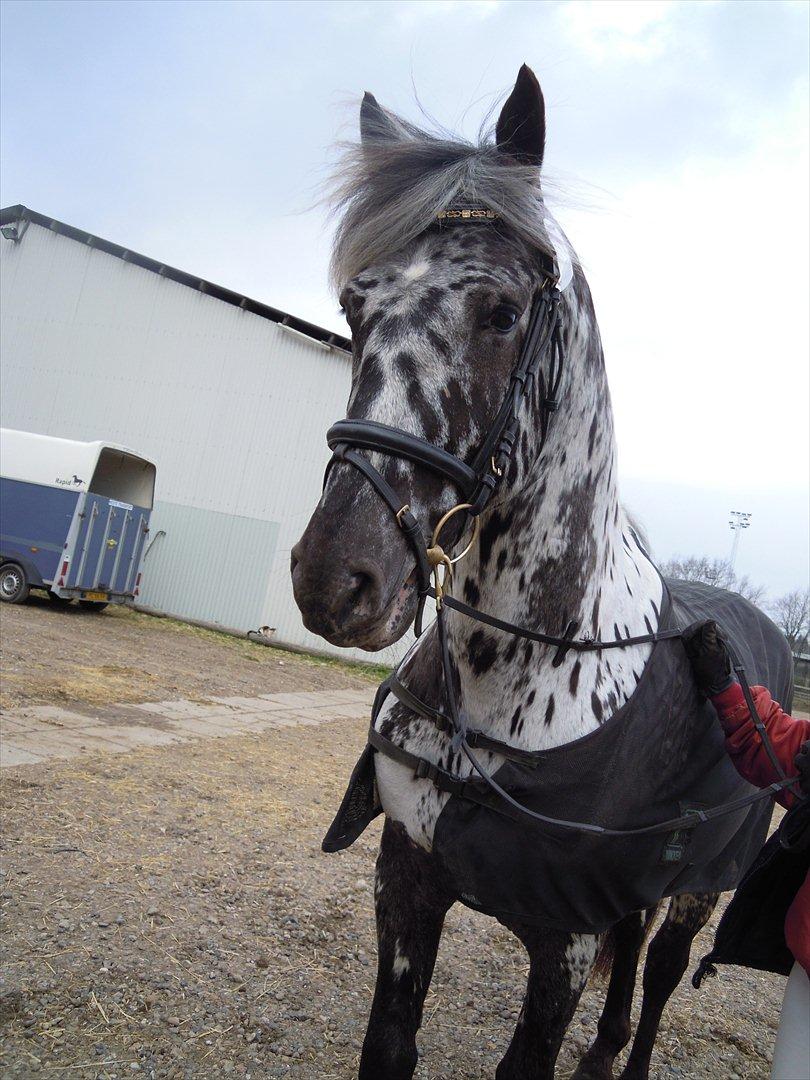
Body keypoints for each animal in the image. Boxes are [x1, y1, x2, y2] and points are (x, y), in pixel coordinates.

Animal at [289, 67, 794, 1080]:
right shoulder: (406, 886)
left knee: (660, 972)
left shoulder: (561, 944)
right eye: (355, 308)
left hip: (697, 893)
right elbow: (389, 1046)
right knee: (634, 955)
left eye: (502, 312)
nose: (336, 579)